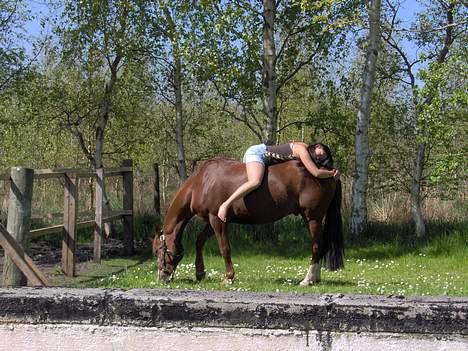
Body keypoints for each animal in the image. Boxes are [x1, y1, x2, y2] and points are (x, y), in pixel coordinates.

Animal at [154, 158, 344, 288]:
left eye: (158, 250)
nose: (162, 276)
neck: (202, 182)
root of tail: (328, 173)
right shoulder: (211, 220)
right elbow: (199, 241)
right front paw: (200, 272)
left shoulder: (217, 220)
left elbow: (224, 248)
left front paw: (229, 277)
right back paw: (315, 278)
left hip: (313, 218)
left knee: (317, 245)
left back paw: (308, 279)